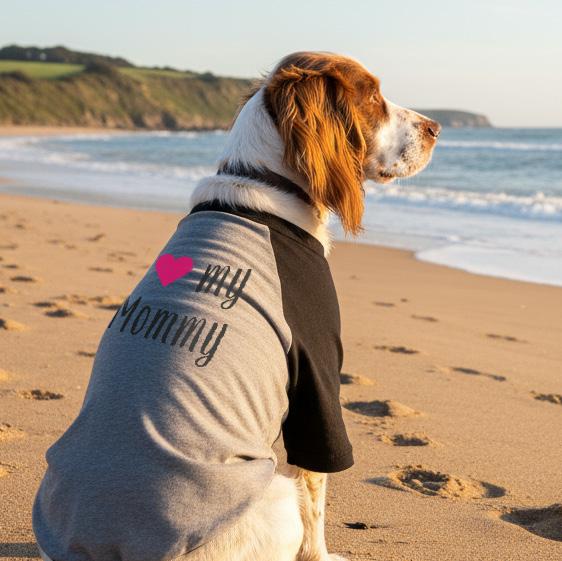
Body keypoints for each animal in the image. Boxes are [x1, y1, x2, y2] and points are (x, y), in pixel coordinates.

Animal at [34, 51, 439, 561]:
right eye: (370, 96)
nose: (436, 127)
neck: (268, 181)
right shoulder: (317, 375)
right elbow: (317, 492)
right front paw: (325, 555)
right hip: (275, 496)